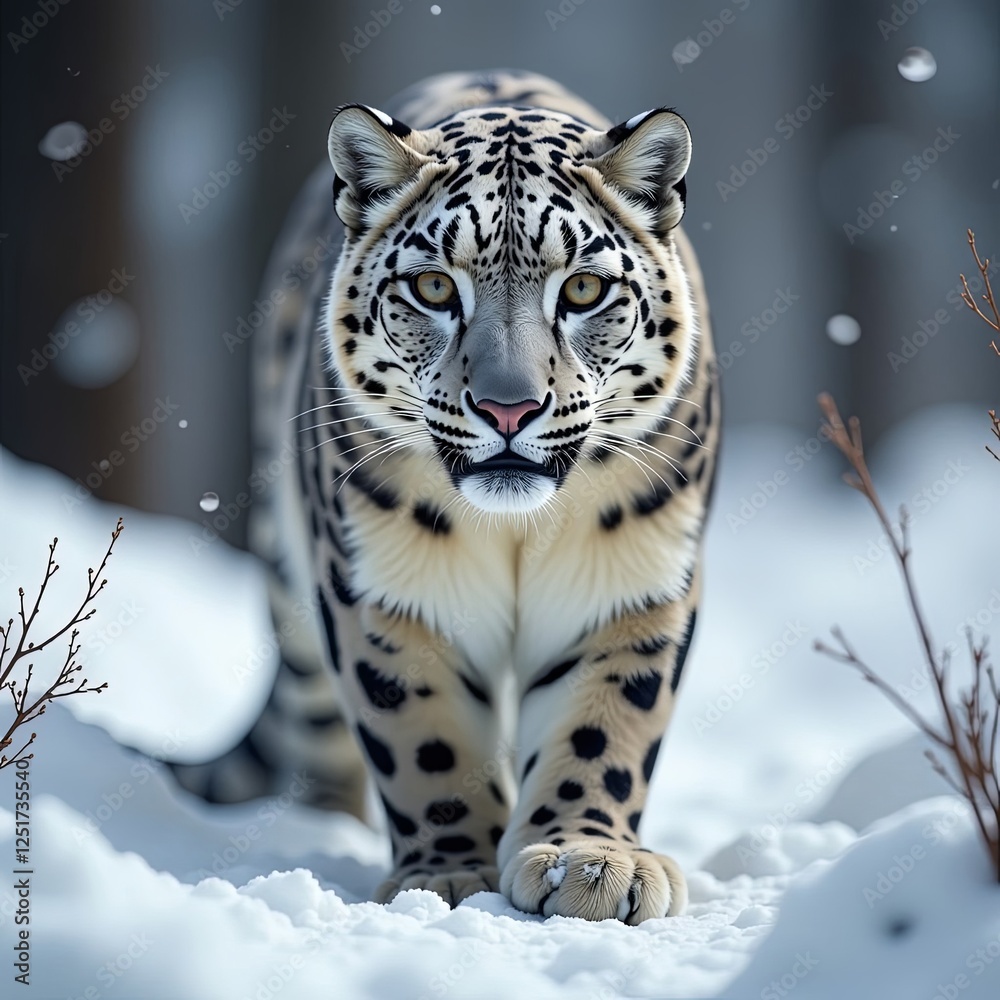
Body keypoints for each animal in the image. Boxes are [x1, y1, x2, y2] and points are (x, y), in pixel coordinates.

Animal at [170, 69, 720, 924]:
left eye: (583, 289)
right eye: (434, 286)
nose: (507, 408)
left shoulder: (632, 581)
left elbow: (604, 726)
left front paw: (590, 862)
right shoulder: (387, 592)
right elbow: (425, 738)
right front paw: (449, 872)